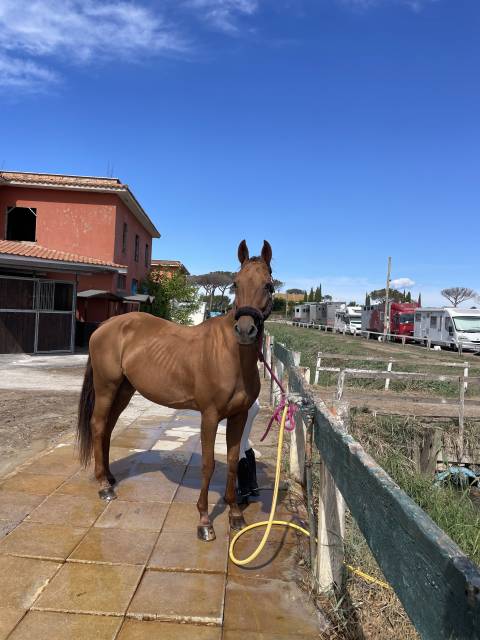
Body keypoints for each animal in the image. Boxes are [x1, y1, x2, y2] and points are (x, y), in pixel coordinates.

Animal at [77, 239, 273, 541]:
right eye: (236, 284)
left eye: (268, 285)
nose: (245, 330)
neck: (232, 356)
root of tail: (106, 326)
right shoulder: (210, 416)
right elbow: (208, 464)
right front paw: (204, 521)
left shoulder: (239, 416)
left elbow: (231, 461)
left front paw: (235, 515)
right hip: (106, 387)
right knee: (98, 425)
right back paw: (104, 487)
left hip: (124, 390)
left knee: (108, 428)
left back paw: (109, 477)